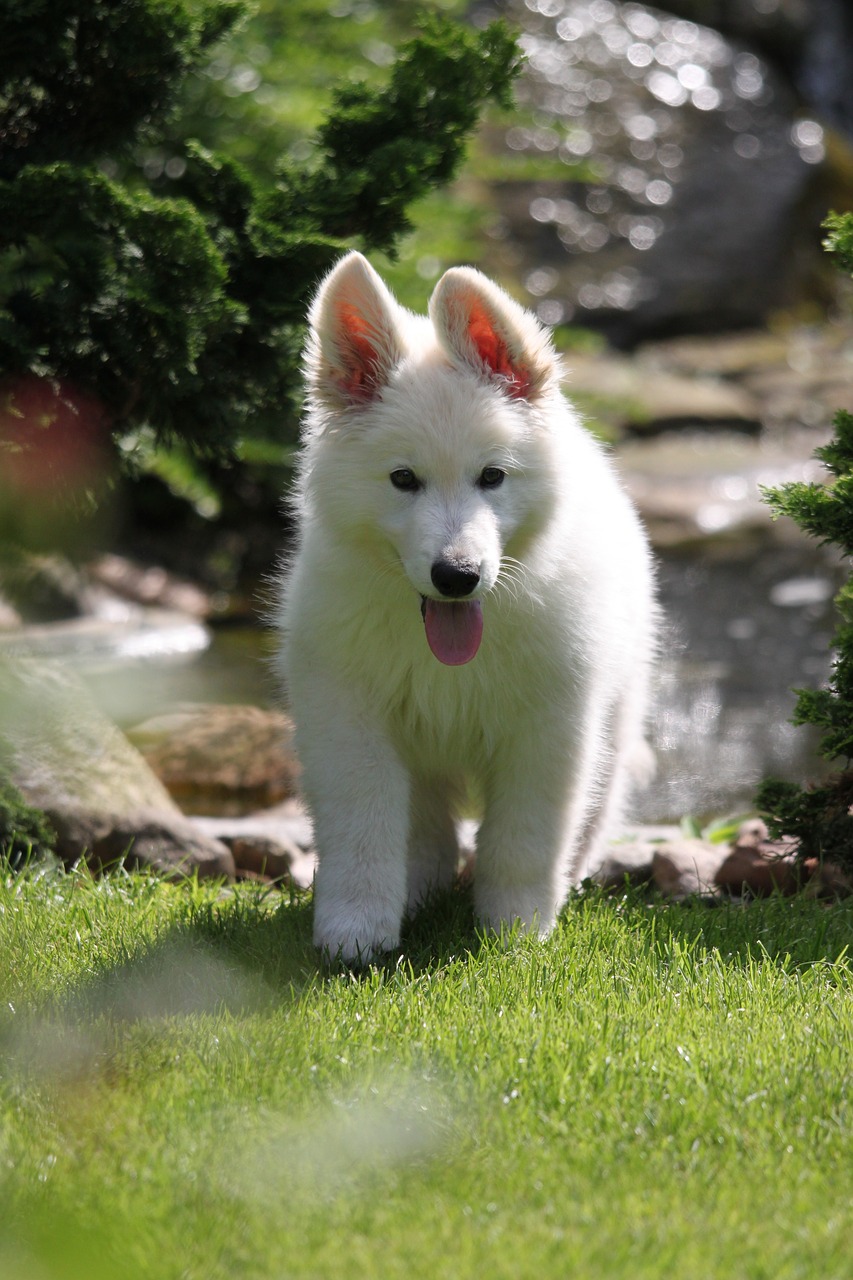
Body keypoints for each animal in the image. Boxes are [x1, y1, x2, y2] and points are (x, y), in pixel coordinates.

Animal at [275, 252, 653, 962]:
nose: (457, 577)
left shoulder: (549, 728)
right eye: (403, 480)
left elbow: (524, 839)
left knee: (590, 812)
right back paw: (419, 891)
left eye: (492, 476)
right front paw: (355, 933)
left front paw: (515, 934)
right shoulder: (349, 718)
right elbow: (362, 828)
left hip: (615, 718)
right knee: (426, 830)